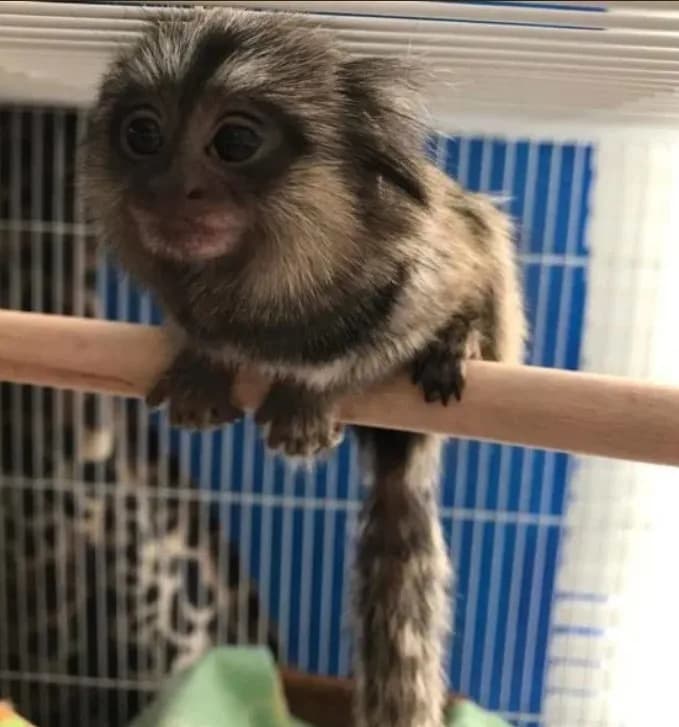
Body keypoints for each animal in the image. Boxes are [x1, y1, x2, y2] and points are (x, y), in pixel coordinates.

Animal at [82, 8, 526, 727]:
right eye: (142, 134)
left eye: (235, 141)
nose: (169, 189)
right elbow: (199, 337)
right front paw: (204, 365)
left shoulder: (426, 259)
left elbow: (401, 325)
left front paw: (312, 396)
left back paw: (454, 348)